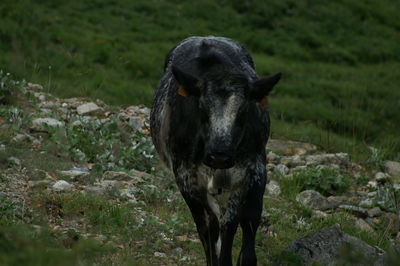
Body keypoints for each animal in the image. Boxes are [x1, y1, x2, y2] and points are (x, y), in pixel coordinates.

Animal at [151, 36, 282, 264]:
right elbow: (207, 226)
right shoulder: (186, 177)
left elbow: (234, 222)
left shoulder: (248, 170)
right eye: (202, 108)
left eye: (243, 112)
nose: (219, 156)